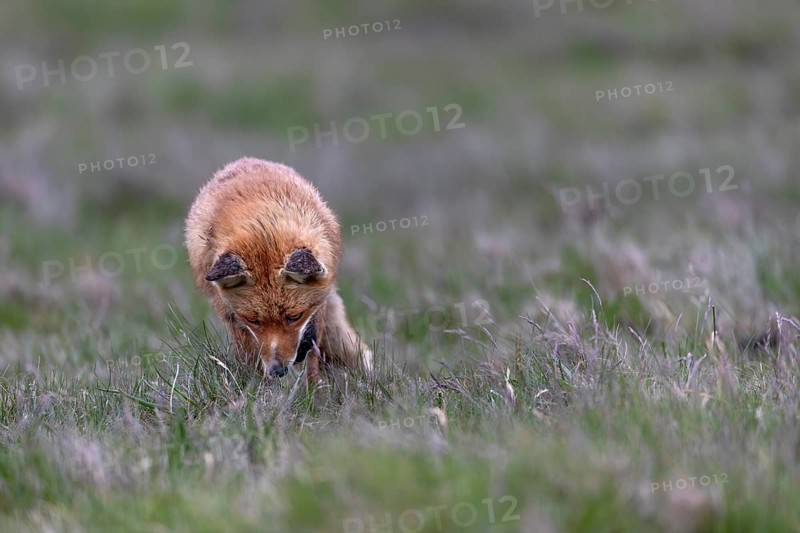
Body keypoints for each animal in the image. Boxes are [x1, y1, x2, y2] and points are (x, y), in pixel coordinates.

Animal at [184, 157, 371, 382]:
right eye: (253, 320)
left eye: (295, 316)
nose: (277, 370)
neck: (263, 225)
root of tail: (247, 159)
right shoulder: (234, 317)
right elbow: (252, 357)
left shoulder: (318, 303)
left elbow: (312, 356)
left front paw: (313, 390)